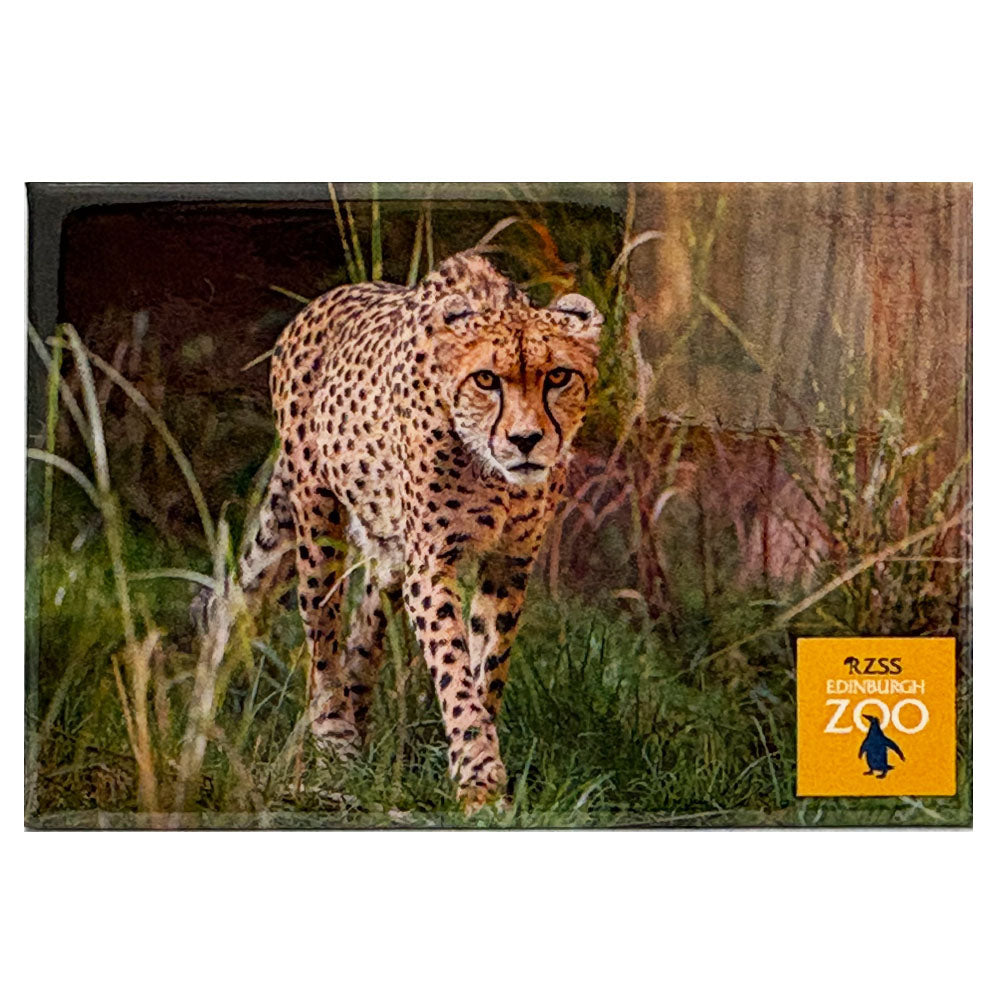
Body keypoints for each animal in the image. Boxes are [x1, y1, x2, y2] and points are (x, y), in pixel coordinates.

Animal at [237, 251, 602, 810]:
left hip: (388, 549)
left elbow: (486, 665)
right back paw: (335, 738)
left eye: (559, 375)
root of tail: (320, 304)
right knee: (320, 634)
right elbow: (453, 668)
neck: (493, 473)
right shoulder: (432, 564)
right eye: (486, 380)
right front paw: (478, 777)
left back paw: (358, 721)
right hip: (318, 520)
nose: (525, 440)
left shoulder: (508, 564)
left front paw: (480, 762)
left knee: (363, 628)